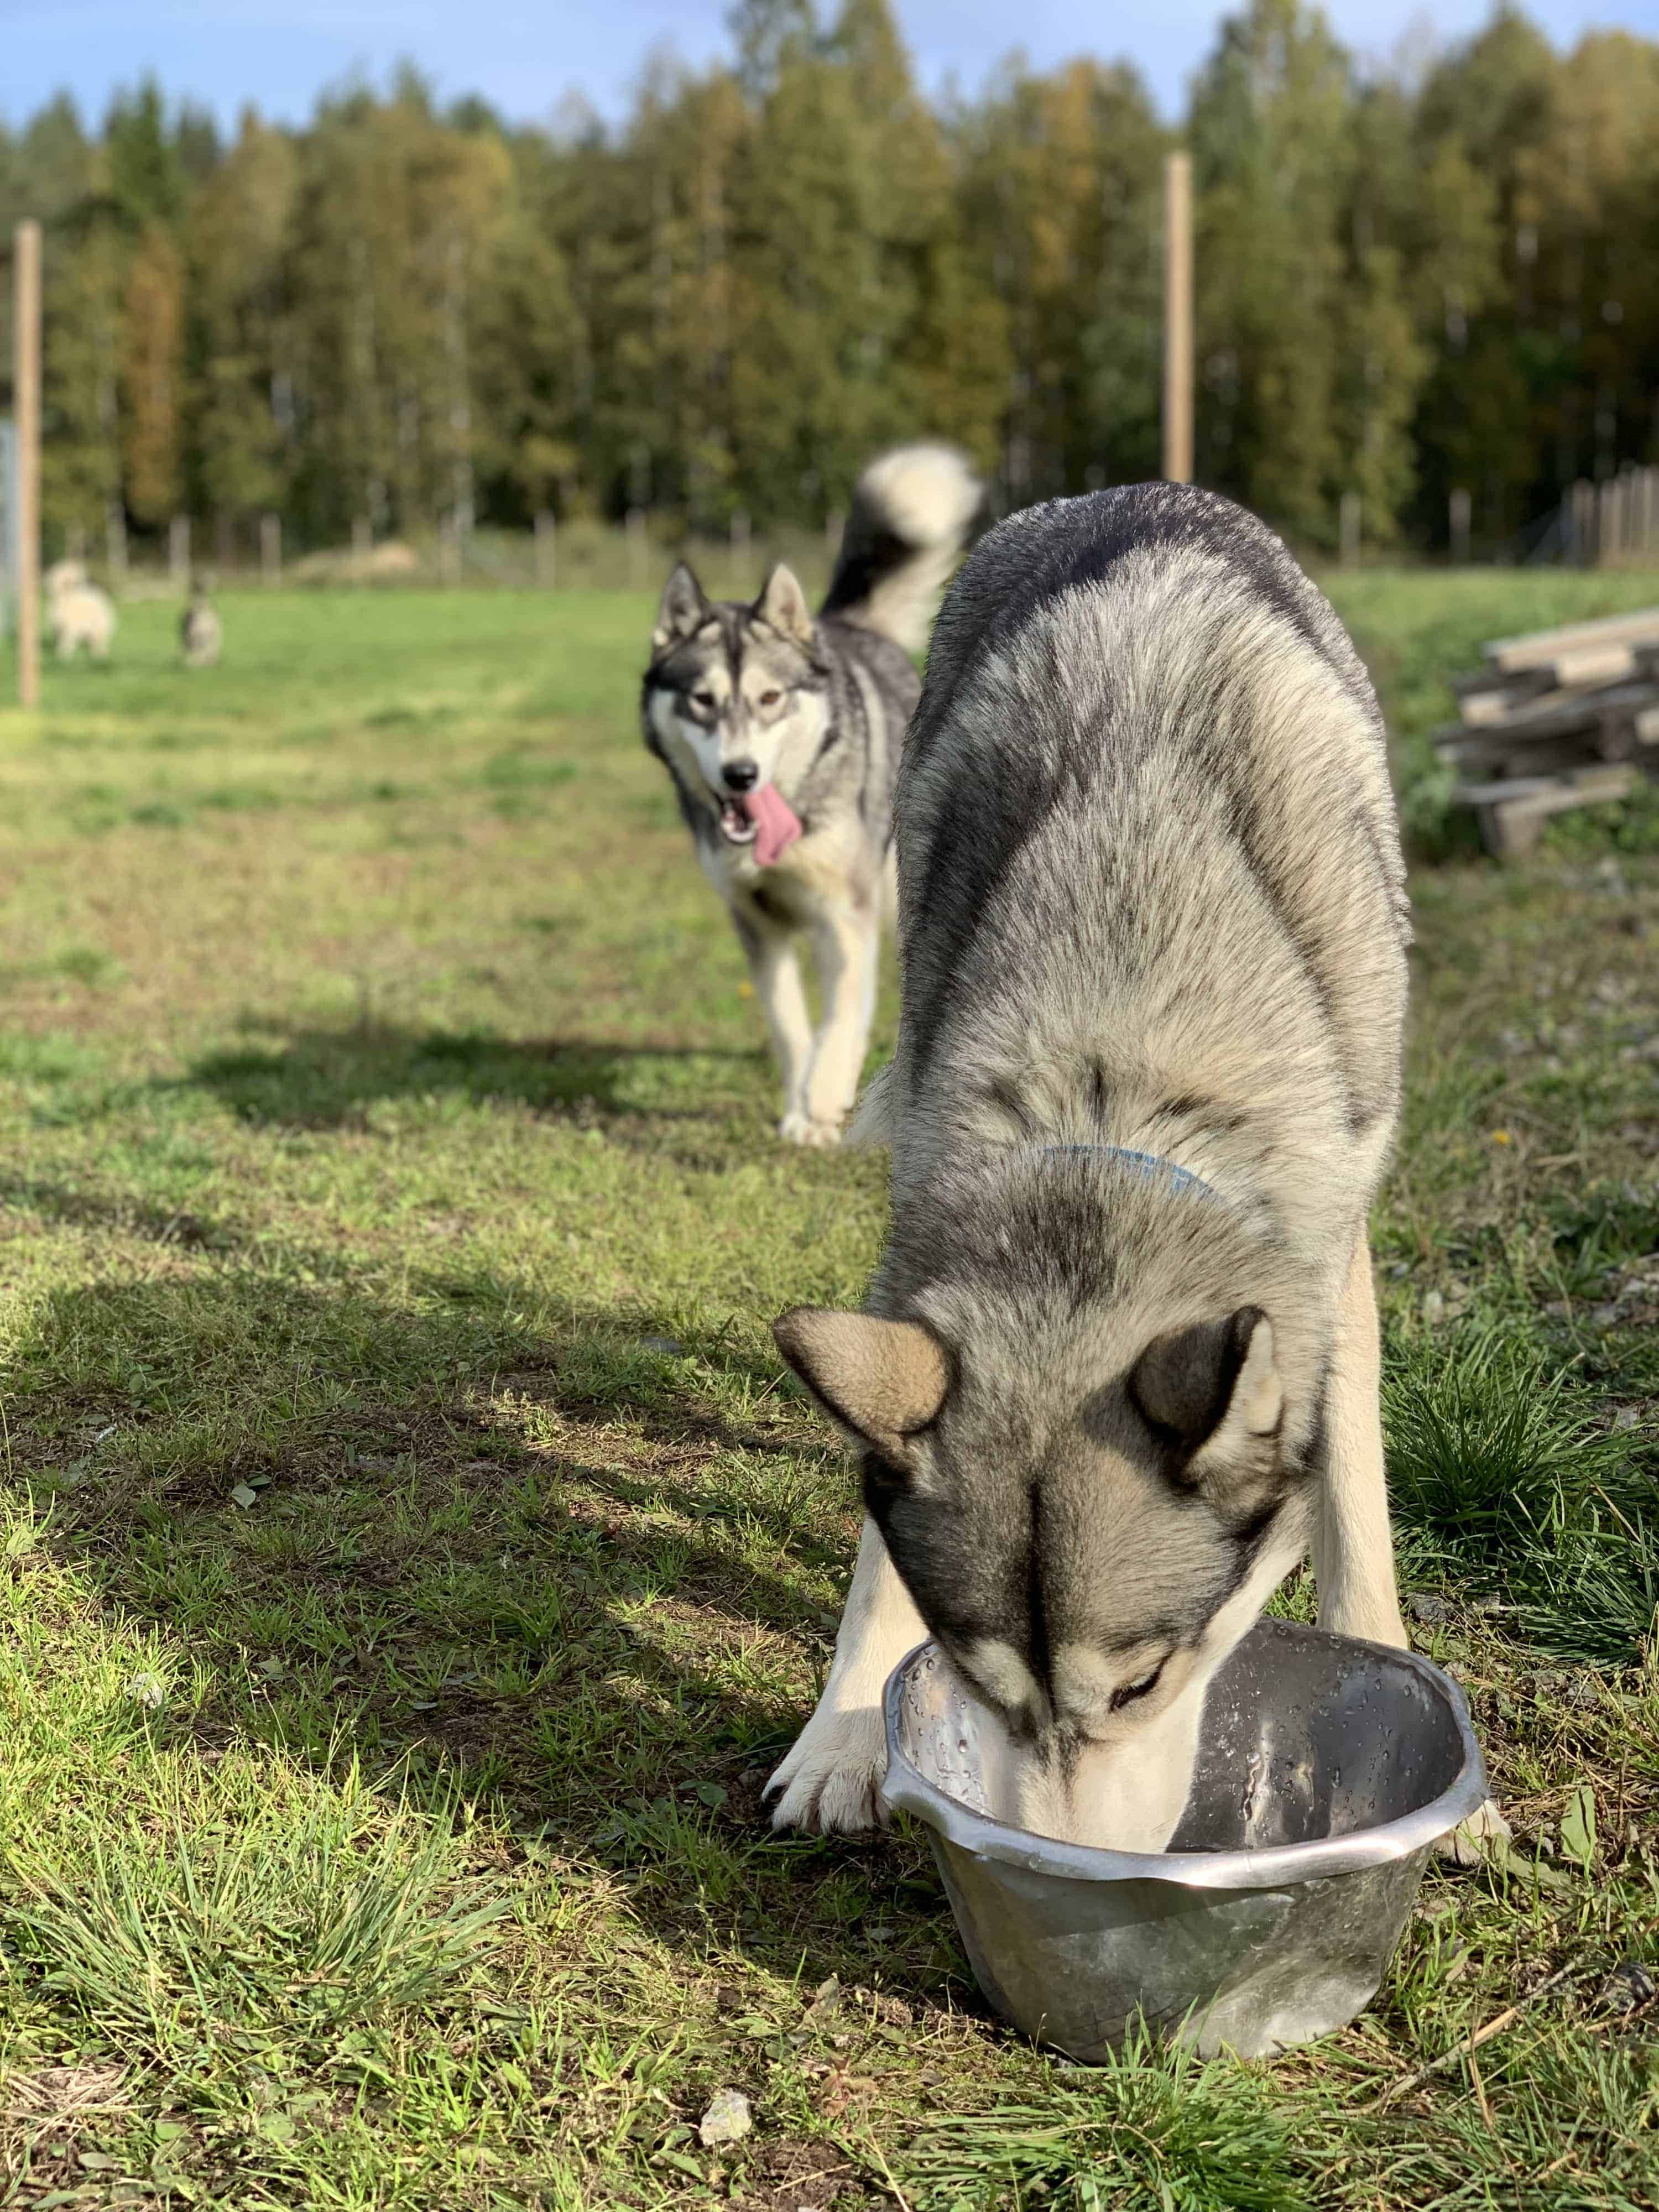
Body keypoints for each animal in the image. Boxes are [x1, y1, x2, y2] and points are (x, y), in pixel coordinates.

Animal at [43, 557, 117, 659]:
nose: (83, 583)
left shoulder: (70, 627)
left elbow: (66, 642)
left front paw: (64, 657)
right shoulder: (59, 629)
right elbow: (60, 641)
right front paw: (60, 655)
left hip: (99, 626)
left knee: (99, 642)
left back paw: (99, 656)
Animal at [646, 442, 987, 1150]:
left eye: (771, 698)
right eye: (702, 700)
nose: (741, 775)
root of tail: (842, 627)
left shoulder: (844, 913)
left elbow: (841, 1018)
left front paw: (827, 1098)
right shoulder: (756, 923)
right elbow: (788, 1022)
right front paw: (801, 1105)